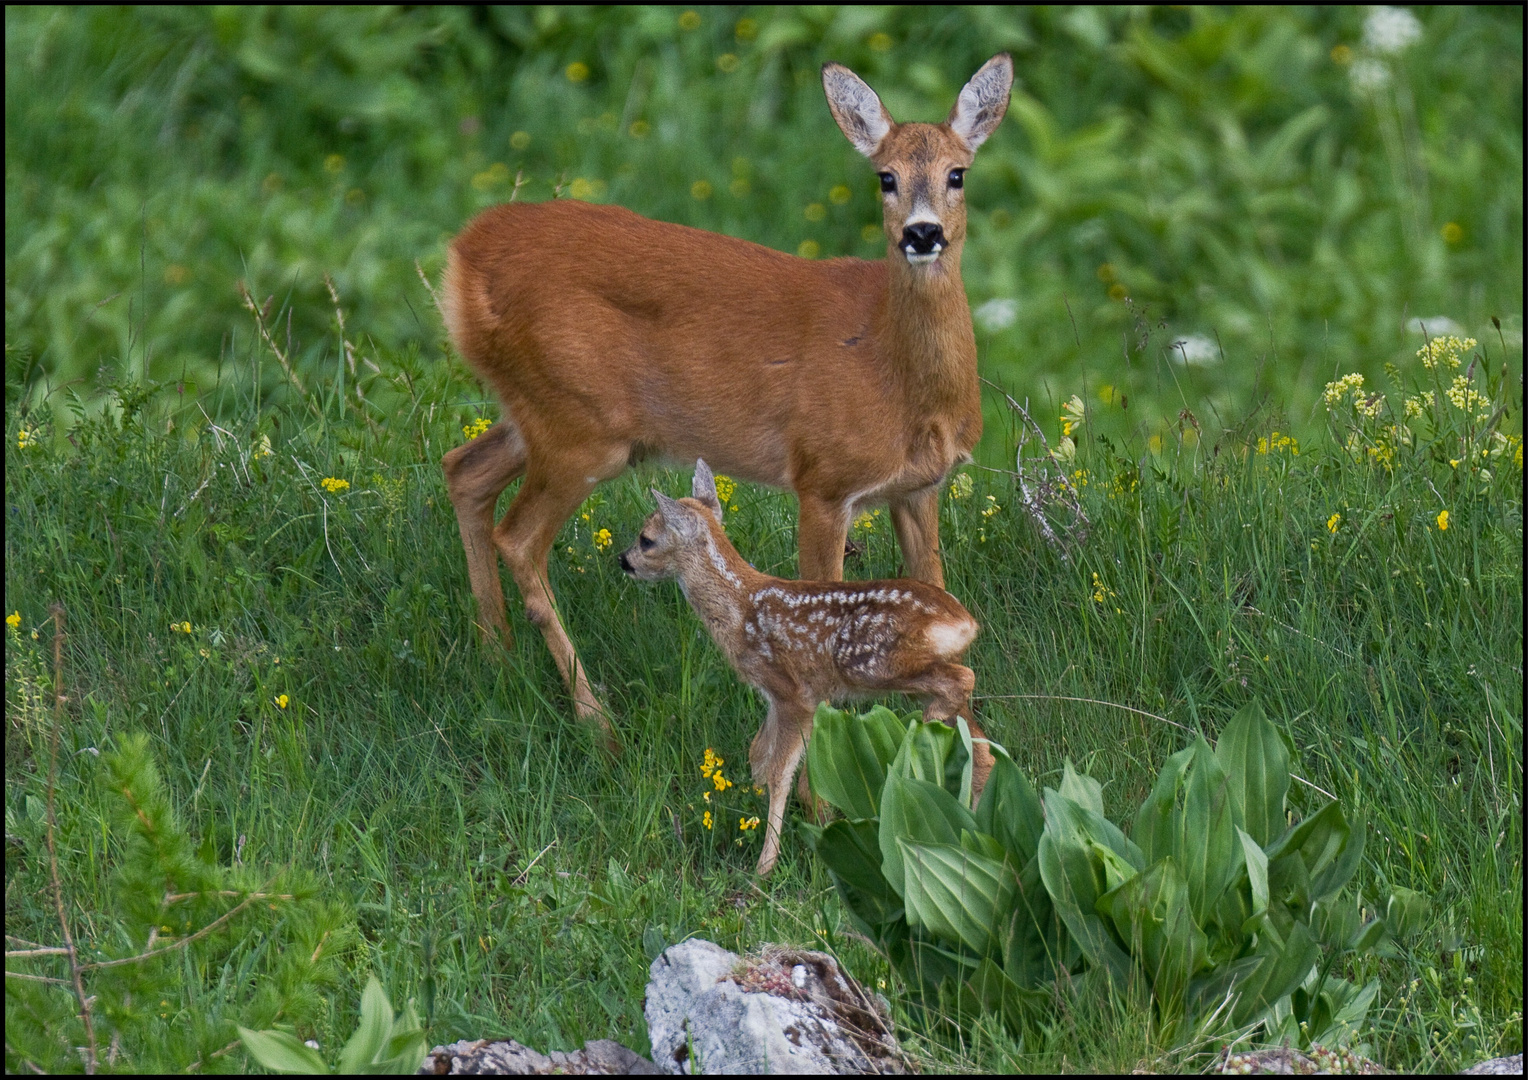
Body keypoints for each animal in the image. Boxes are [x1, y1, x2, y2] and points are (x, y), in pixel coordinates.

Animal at [443, 50, 1014, 748]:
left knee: (464, 470)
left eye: (957, 173)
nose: (923, 233)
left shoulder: (918, 488)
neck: (895, 374)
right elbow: (823, 599)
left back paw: (495, 657)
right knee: (519, 538)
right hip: (578, 429)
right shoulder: (823, 480)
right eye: (885, 177)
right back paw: (596, 720)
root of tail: (461, 257)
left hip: (543, 413)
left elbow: (934, 590)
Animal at [620, 461, 990, 873]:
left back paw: (925, 734)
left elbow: (779, 773)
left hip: (868, 662)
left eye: (646, 539)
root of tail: (964, 621)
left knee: (962, 679)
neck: (740, 609)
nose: (623, 560)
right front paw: (752, 815)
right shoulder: (775, 696)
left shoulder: (795, 693)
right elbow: (758, 756)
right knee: (979, 736)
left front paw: (764, 865)